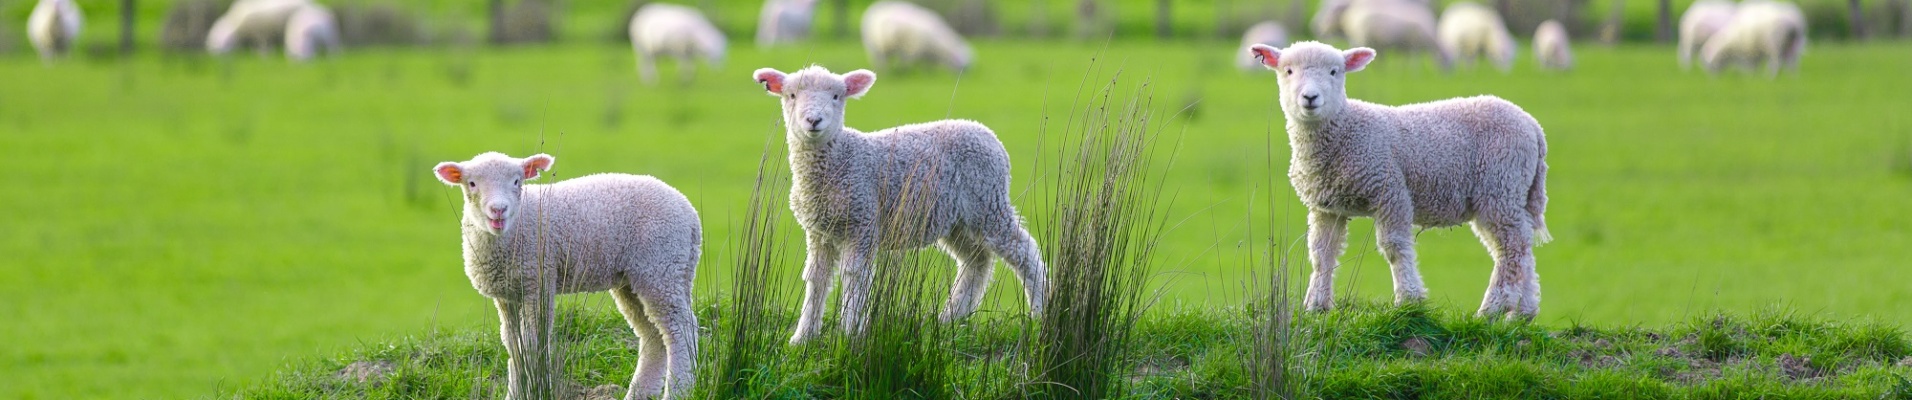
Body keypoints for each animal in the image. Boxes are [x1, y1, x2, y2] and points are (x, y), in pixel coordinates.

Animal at [434, 151, 703, 398]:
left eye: (517, 181)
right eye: (472, 183)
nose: (498, 210)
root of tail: (690, 214)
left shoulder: (538, 283)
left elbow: (532, 343)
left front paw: (535, 387)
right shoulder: (507, 295)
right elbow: (513, 345)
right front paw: (516, 392)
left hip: (660, 266)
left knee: (680, 330)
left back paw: (679, 391)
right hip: (641, 277)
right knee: (652, 335)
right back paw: (638, 393)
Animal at [745, 65, 1047, 344]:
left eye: (836, 96)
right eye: (791, 95)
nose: (813, 120)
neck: (841, 158)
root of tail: (984, 132)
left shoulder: (862, 223)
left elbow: (854, 276)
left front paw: (850, 333)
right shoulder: (819, 233)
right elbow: (816, 279)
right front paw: (803, 336)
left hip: (987, 202)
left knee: (1022, 250)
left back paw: (1040, 310)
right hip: (955, 219)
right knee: (977, 261)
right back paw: (949, 317)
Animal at [1238, 40, 1552, 319]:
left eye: (1334, 71)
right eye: (1288, 70)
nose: (1310, 98)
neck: (1345, 130)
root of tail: (1532, 125)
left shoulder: (1391, 191)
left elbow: (1394, 248)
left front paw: (1408, 300)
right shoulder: (1326, 207)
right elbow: (1322, 254)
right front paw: (1316, 305)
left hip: (1500, 185)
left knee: (1511, 248)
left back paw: (1492, 310)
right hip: (1509, 193)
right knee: (1523, 249)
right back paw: (1522, 313)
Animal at [1307, 0, 1453, 71]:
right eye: (1446, 61)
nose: (1448, 74)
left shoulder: (1406, 45)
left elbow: (1405, 59)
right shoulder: (1414, 44)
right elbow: (1414, 59)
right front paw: (1414, 71)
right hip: (1364, 37)